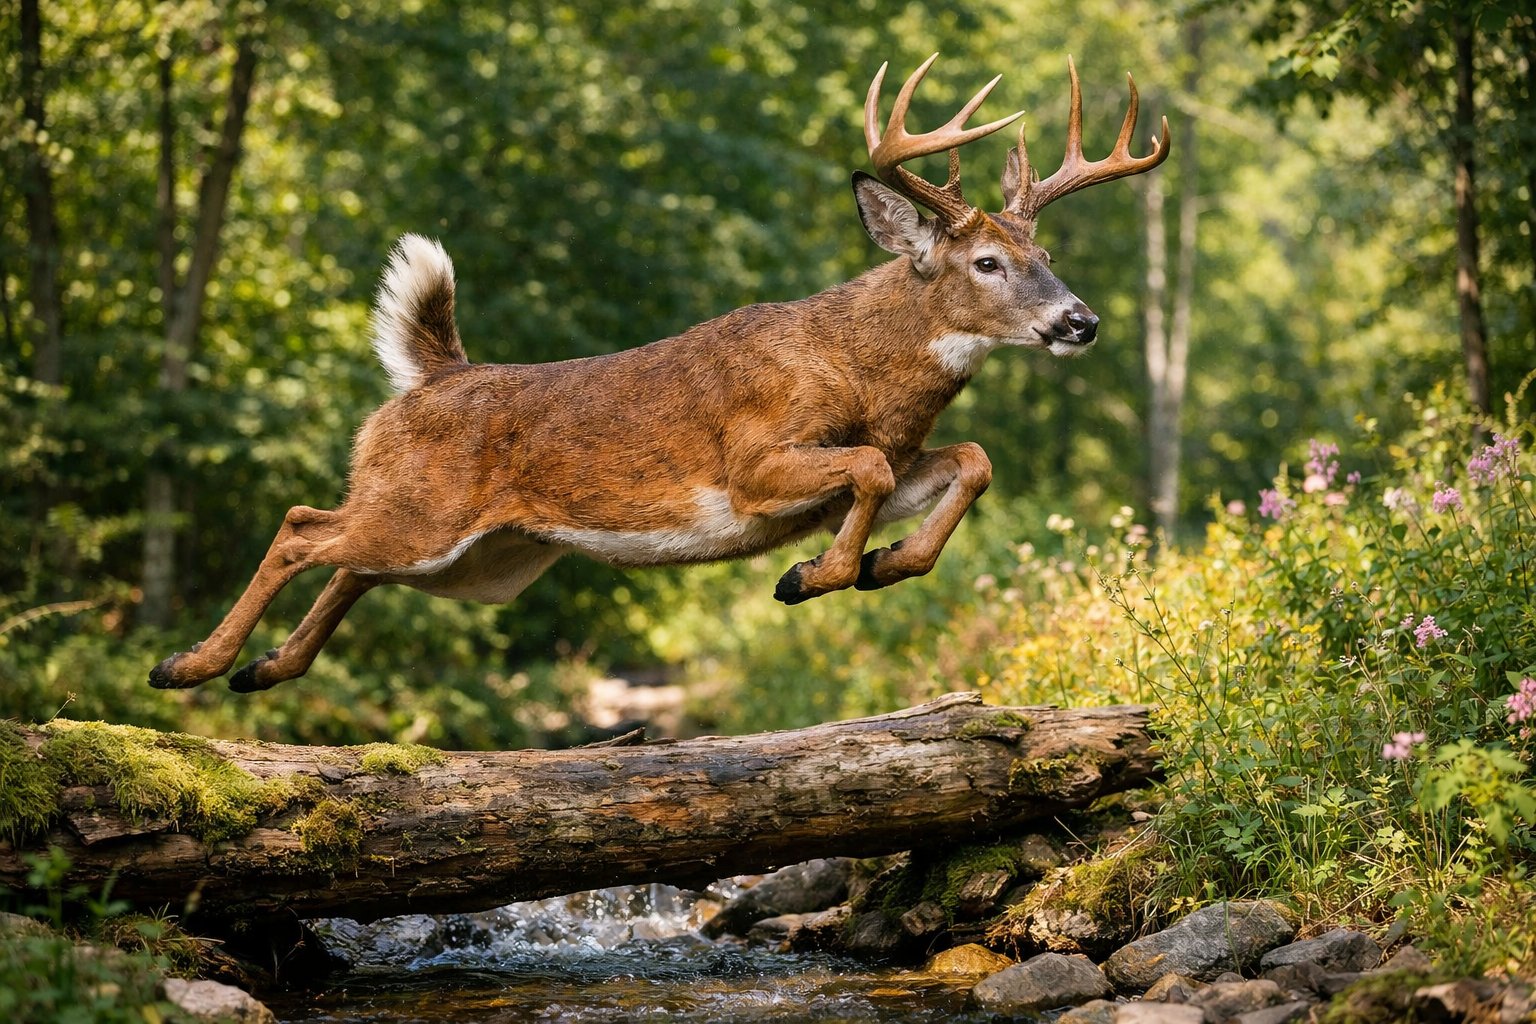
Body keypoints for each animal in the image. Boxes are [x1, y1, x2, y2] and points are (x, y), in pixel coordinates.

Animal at [149, 55, 1170, 693]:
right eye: (988, 263)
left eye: (1046, 254)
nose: (1079, 321)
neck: (860, 374)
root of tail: (429, 382)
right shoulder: (754, 461)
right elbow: (874, 470)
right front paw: (815, 575)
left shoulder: (896, 450)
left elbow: (970, 459)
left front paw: (874, 564)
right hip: (425, 514)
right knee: (302, 527)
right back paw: (189, 666)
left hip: (479, 561)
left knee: (350, 565)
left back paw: (266, 670)